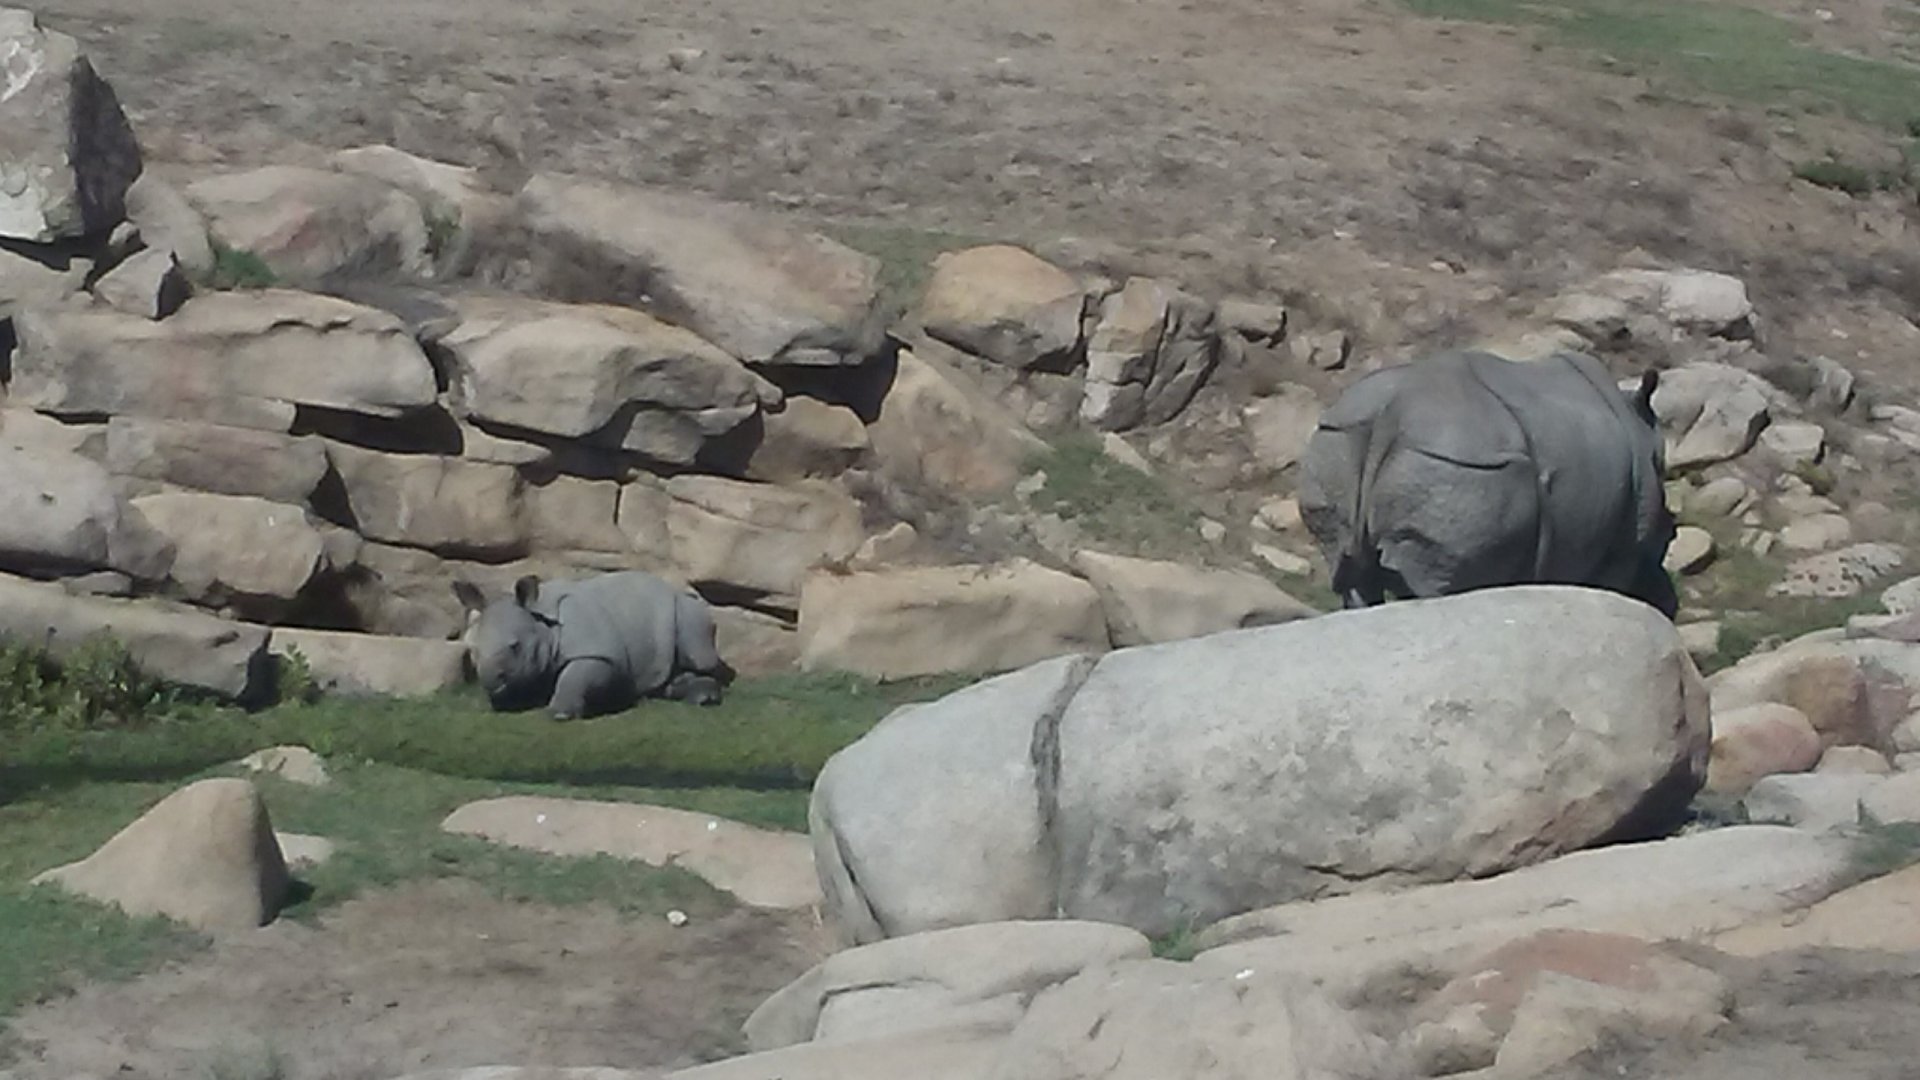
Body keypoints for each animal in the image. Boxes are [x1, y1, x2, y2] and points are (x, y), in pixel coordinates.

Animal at [452, 570, 735, 719]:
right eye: (474, 651)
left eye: (515, 646)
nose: (492, 682)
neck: (541, 622)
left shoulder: (598, 653)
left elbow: (577, 676)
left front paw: (561, 714)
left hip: (686, 609)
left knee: (701, 653)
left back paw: (705, 698)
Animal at [1298, 349, 1678, 617]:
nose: (1670, 530)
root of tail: (1391, 414)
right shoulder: (1626, 541)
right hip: (1463, 469)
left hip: (1337, 442)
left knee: (1349, 569)